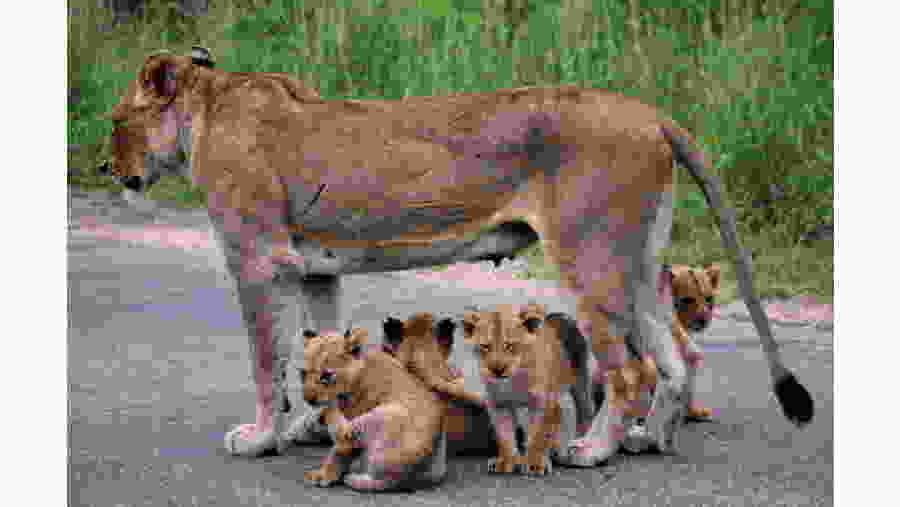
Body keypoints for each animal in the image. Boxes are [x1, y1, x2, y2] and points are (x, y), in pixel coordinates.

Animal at [101, 47, 813, 465]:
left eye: (115, 121)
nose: (107, 167)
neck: (207, 106)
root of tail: (648, 112)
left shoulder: (255, 259)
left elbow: (263, 359)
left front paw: (260, 438)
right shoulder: (315, 267)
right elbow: (319, 345)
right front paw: (313, 425)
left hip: (588, 259)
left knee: (632, 369)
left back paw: (592, 450)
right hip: (634, 267)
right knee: (674, 357)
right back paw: (650, 439)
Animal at [300, 327, 449, 491]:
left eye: (326, 376)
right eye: (303, 373)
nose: (309, 399)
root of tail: (401, 480)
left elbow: (338, 454)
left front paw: (324, 475)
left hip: (388, 412)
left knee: (343, 438)